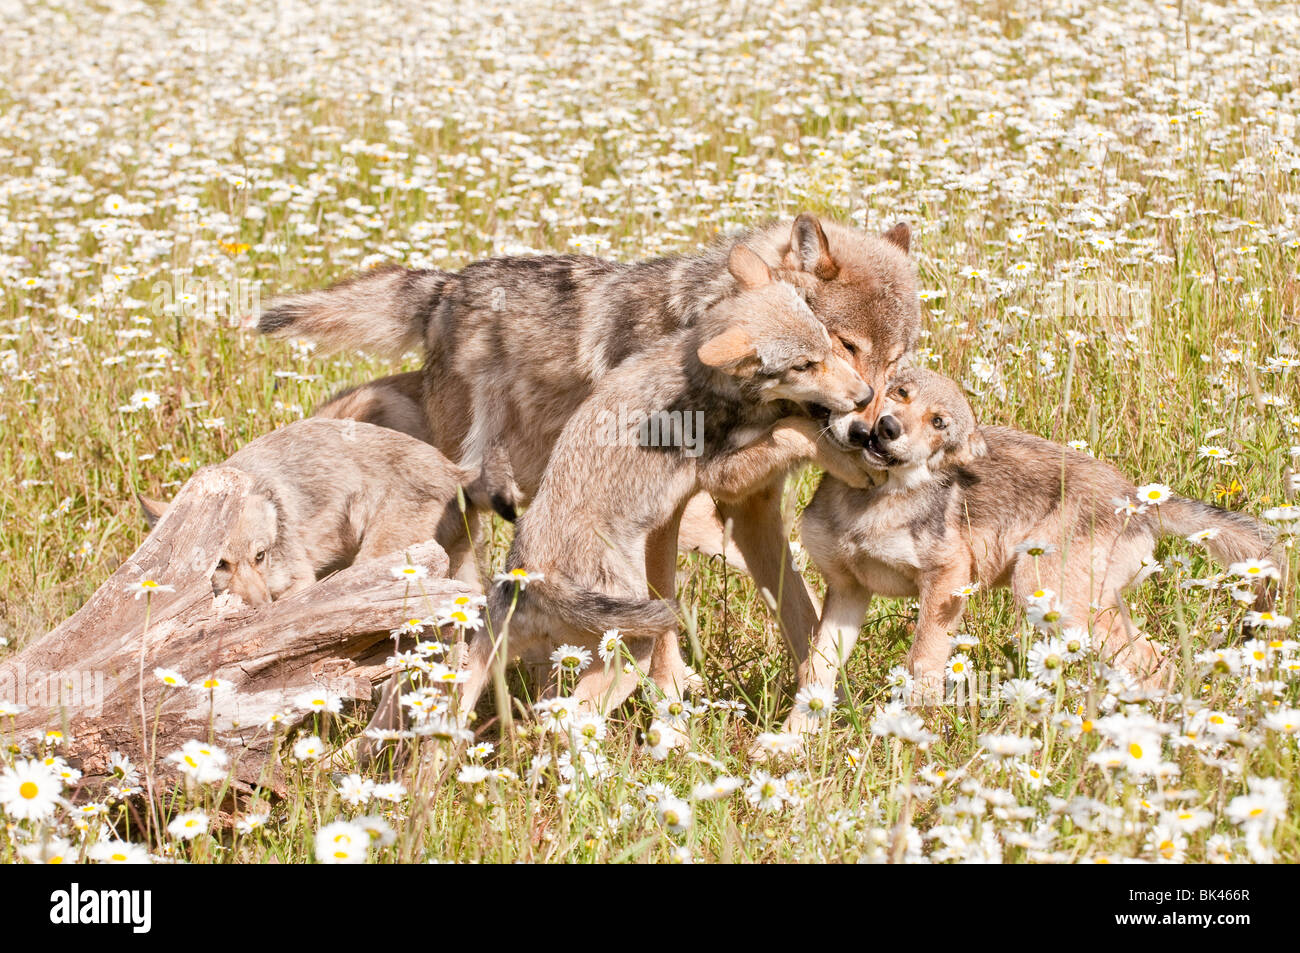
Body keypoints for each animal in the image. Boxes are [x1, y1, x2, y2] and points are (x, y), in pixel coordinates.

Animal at [255, 214, 920, 664]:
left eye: (895, 364)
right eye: (842, 346)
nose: (868, 426)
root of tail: (444, 287)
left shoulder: (751, 510)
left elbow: (803, 619)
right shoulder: (661, 521)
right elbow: (659, 626)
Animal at [454, 246, 874, 727]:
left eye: (830, 345)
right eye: (804, 365)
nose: (865, 396)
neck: (706, 379)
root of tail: (532, 574)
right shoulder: (723, 479)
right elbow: (795, 430)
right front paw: (850, 464)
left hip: (484, 678)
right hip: (627, 654)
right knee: (569, 723)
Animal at [787, 368, 1281, 732]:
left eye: (938, 423)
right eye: (899, 393)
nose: (888, 428)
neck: (869, 504)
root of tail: (1138, 497)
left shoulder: (948, 580)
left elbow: (923, 662)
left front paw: (912, 733)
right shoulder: (847, 592)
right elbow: (816, 672)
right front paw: (792, 742)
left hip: (1042, 592)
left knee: (1157, 660)